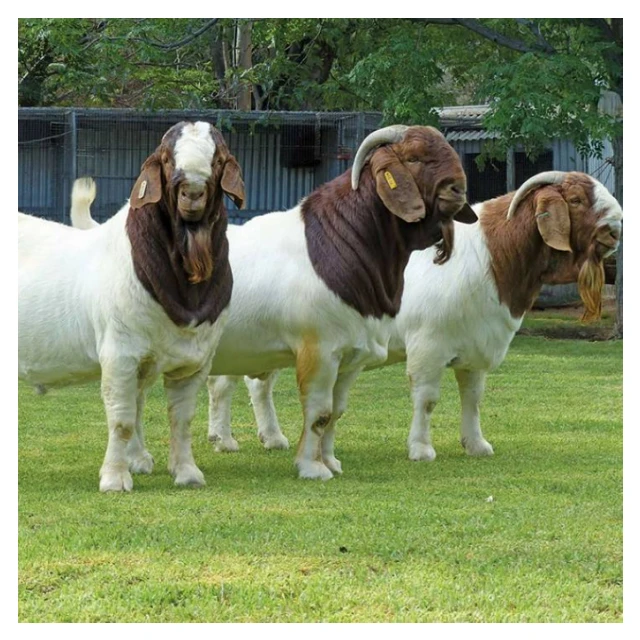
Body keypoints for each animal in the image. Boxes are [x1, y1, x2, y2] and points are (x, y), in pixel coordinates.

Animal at [19, 121, 245, 492]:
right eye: (167, 159)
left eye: (218, 159)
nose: (193, 192)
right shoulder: (119, 354)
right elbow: (123, 419)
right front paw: (115, 478)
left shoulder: (195, 360)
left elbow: (181, 419)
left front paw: (186, 472)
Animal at [73, 124, 478, 480]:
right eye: (414, 158)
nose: (458, 189)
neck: (343, 240)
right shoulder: (319, 349)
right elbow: (319, 411)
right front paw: (311, 467)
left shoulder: (352, 355)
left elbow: (337, 412)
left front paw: (330, 462)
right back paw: (139, 460)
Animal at [209, 171, 622, 461]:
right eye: (576, 198)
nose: (616, 226)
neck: (494, 256)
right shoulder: (429, 344)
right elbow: (427, 399)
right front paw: (421, 449)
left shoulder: (477, 345)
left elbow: (473, 399)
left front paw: (476, 444)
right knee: (227, 386)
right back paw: (226, 439)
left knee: (252, 386)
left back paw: (264, 438)